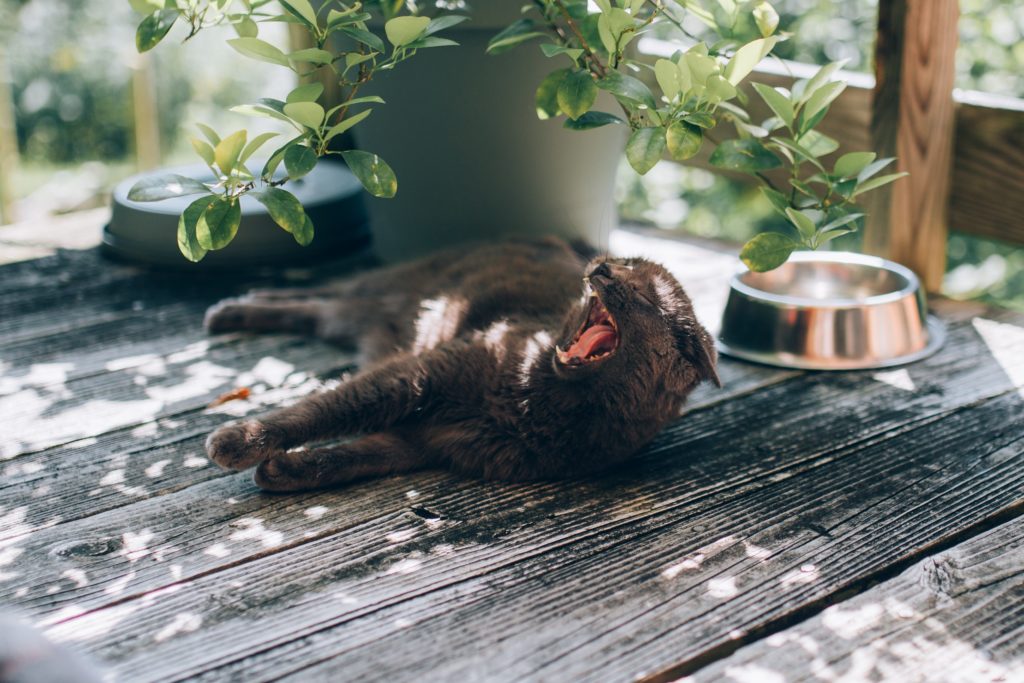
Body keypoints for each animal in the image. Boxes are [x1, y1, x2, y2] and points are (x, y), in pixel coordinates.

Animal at [201, 237, 720, 489]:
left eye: (643, 294)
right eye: (621, 261)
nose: (602, 267)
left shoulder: (430, 443)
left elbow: (355, 457)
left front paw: (283, 472)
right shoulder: (417, 375)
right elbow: (329, 408)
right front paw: (239, 442)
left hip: (359, 312)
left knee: (318, 308)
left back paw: (236, 307)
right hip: (383, 291)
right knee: (322, 294)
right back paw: (232, 308)